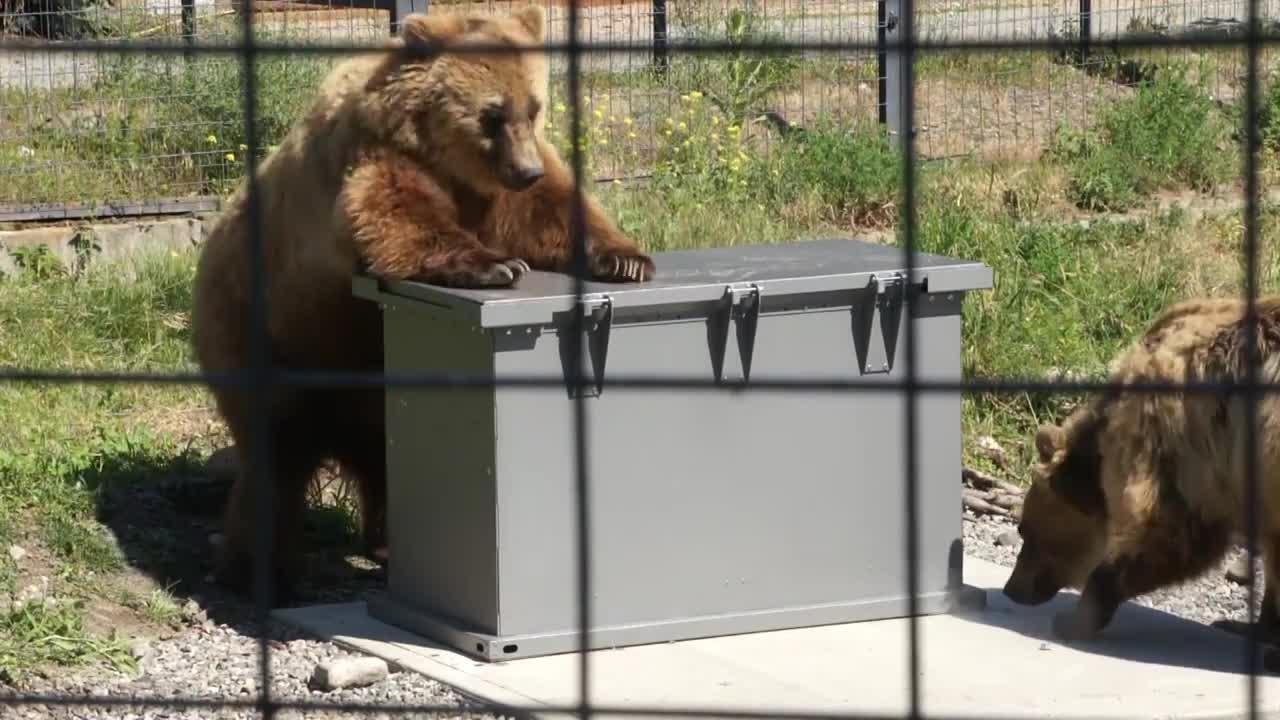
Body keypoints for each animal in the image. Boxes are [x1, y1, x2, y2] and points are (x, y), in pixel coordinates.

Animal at [194, 2, 655, 602]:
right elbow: (396, 213)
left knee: (387, 457)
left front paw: (626, 259)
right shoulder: (374, 161)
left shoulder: (498, 192)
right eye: (491, 113)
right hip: (269, 335)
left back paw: (385, 545)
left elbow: (554, 209)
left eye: (533, 107)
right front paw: (497, 266)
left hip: (368, 374)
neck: (444, 156)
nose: (524, 168)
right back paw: (262, 572)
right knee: (278, 453)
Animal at [1003, 294, 1280, 640]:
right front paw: (1249, 625)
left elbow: (1166, 527)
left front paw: (1074, 618)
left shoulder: (1176, 438)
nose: (1012, 588)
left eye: (1025, 528)